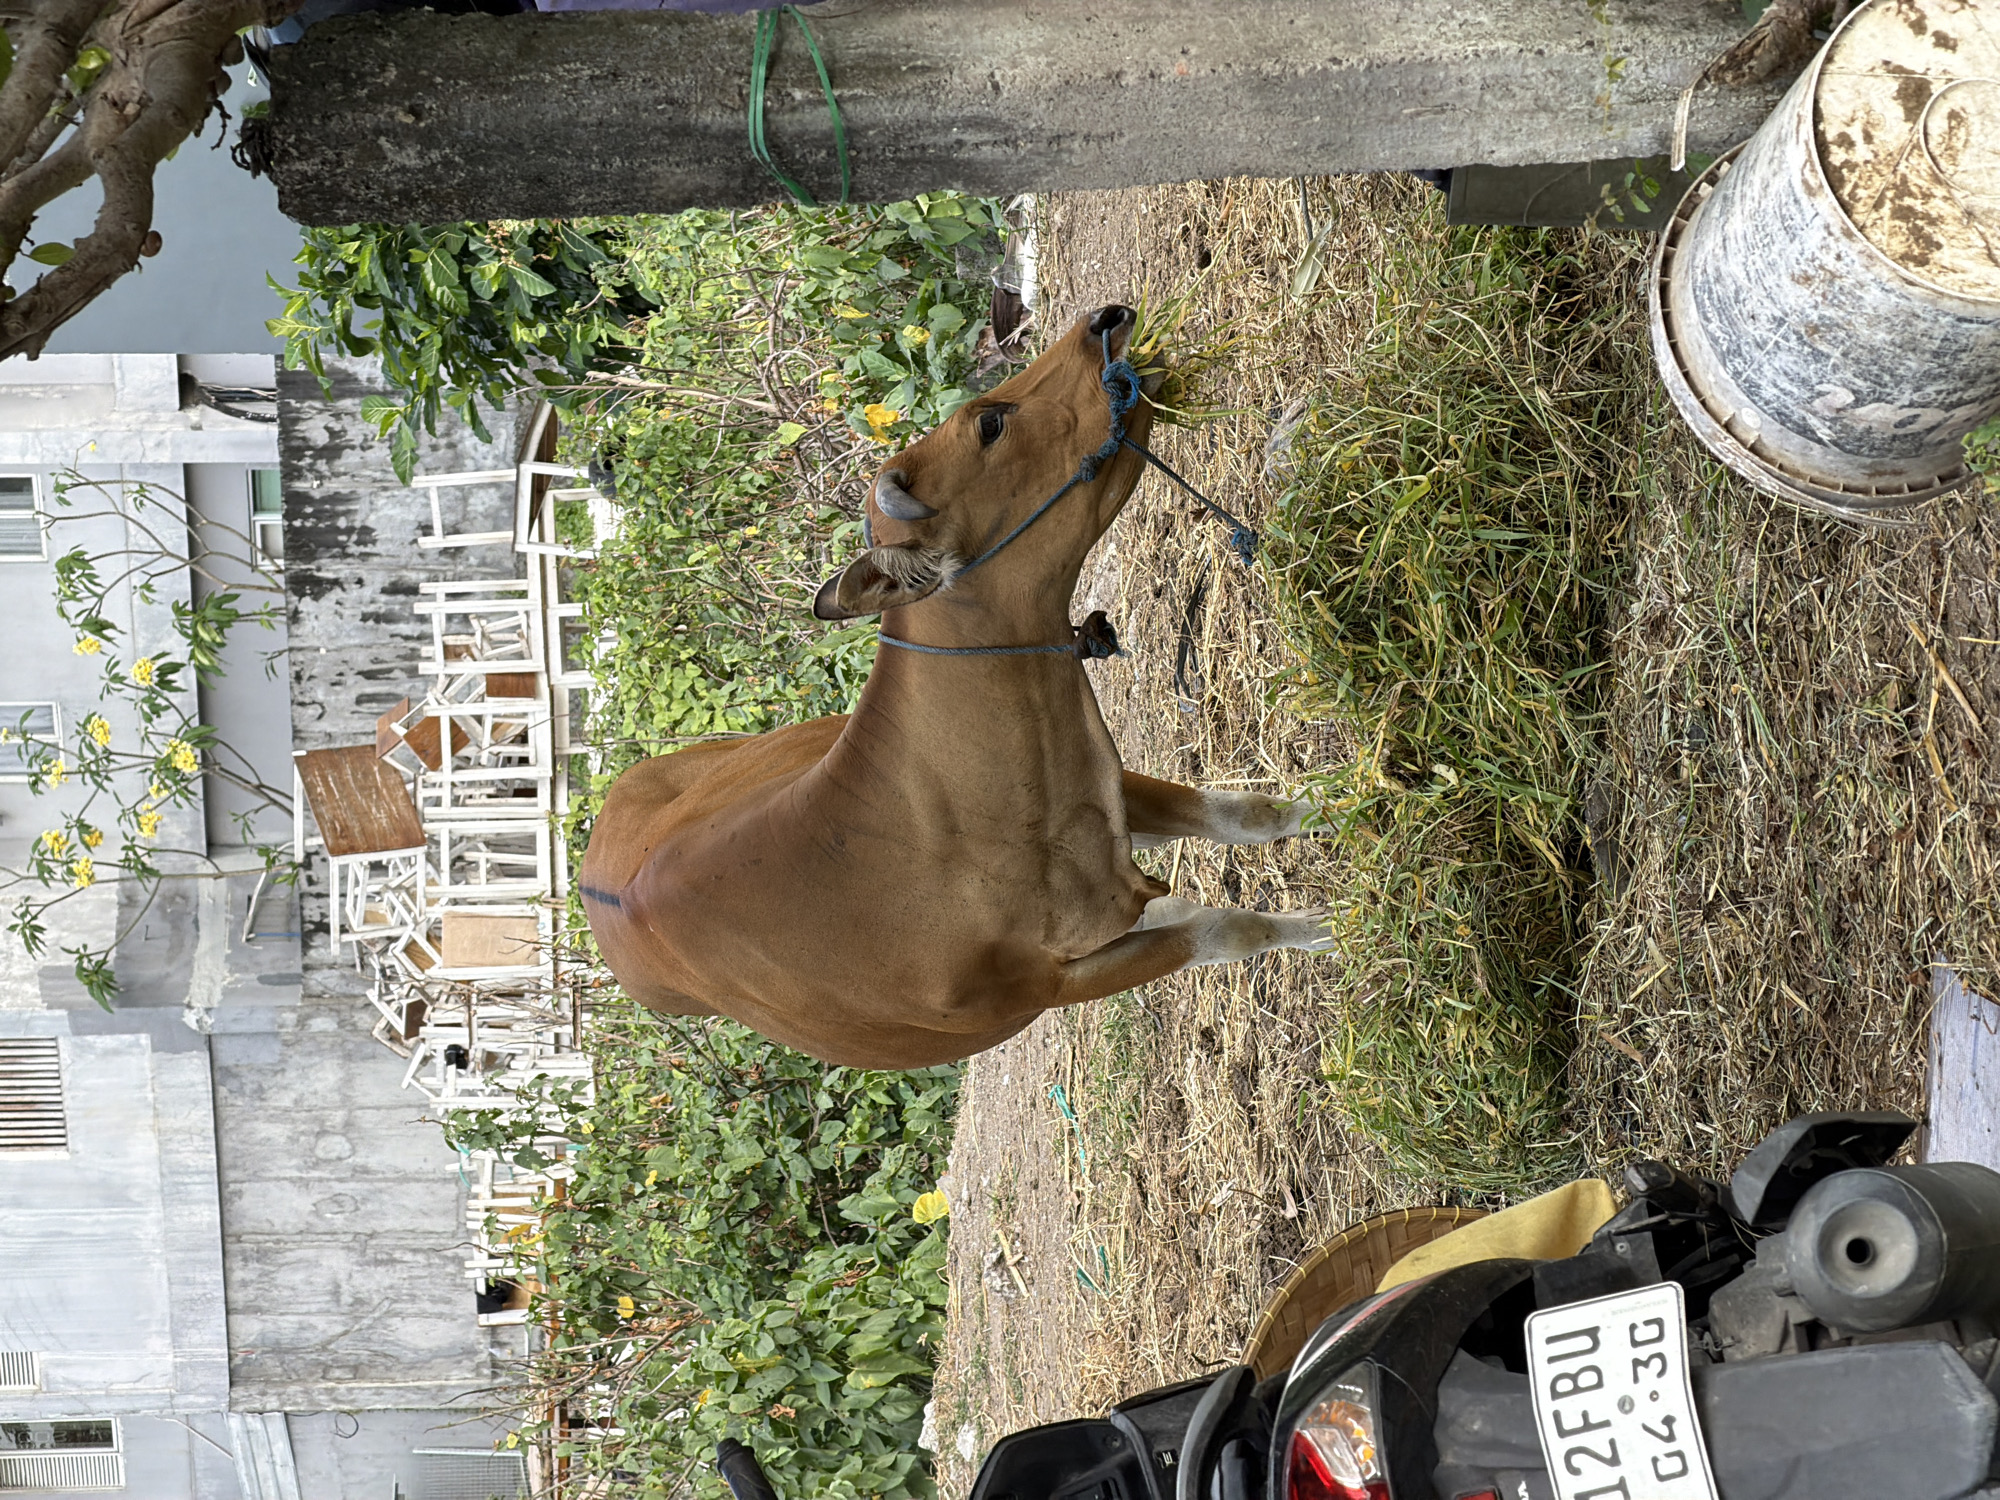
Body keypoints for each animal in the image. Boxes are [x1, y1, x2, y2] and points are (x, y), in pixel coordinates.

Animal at [578, 304, 1331, 1069]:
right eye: (989, 423)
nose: (1105, 319)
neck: (943, 822)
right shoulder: (1052, 984)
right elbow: (1227, 930)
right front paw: (1322, 925)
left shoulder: (1106, 789)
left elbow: (1249, 817)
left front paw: (1333, 810)